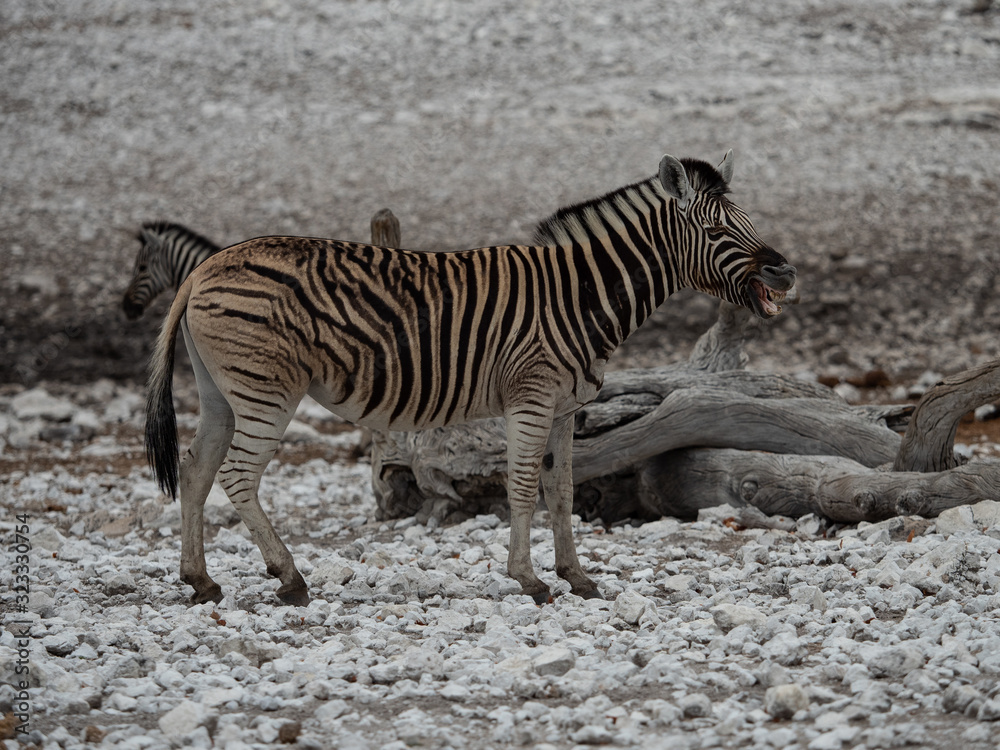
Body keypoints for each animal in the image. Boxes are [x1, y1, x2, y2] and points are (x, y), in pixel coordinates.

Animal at [145, 151, 796, 606]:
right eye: (716, 232)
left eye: (748, 220)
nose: (786, 274)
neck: (578, 296)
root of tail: (206, 266)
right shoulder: (531, 399)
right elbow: (523, 488)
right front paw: (529, 580)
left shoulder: (566, 408)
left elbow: (563, 490)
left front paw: (577, 576)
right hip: (267, 390)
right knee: (236, 476)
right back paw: (290, 578)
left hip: (221, 391)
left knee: (197, 469)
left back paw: (200, 581)